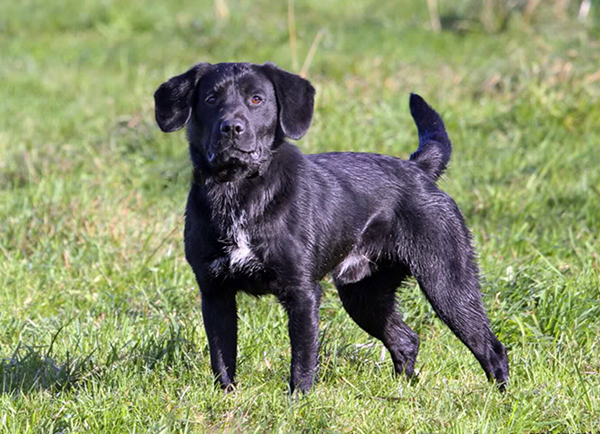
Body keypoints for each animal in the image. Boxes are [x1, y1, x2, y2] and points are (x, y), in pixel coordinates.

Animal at [155, 62, 510, 394]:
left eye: (256, 99)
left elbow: (302, 362)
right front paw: (228, 398)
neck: (239, 193)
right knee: (406, 339)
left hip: (447, 284)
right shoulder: (215, 293)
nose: (231, 127)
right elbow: (222, 358)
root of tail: (419, 168)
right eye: (211, 99)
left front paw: (298, 404)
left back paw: (501, 399)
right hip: (364, 296)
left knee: (492, 348)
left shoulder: (302, 293)